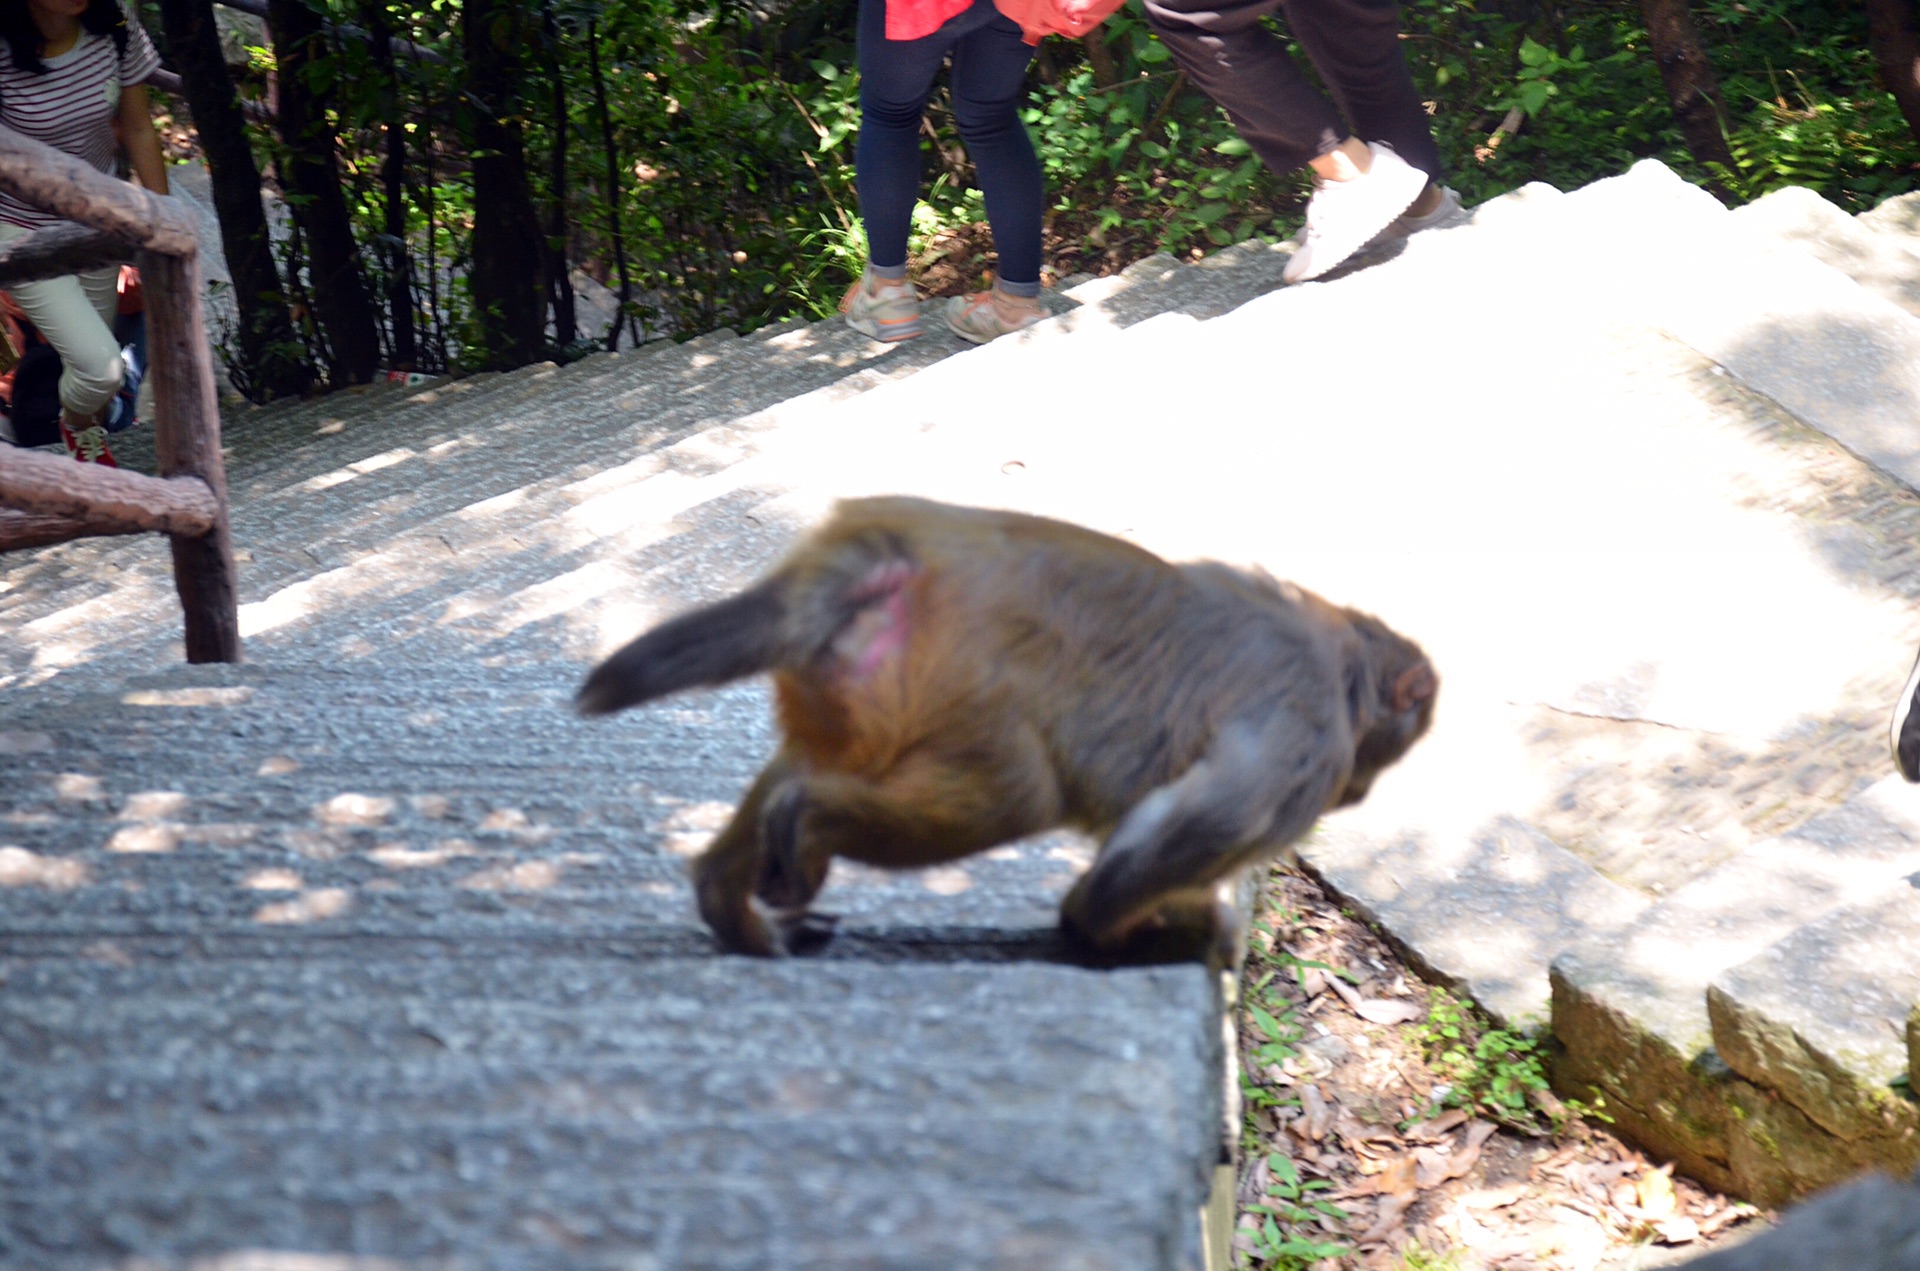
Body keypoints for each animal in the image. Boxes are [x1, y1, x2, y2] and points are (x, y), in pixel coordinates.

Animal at [576, 499, 1436, 967]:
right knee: (1018, 796)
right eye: (1380, 761)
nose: (1361, 794)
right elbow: (1206, 821)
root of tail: (898, 554)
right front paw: (1105, 924)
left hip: (850, 692)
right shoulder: (1308, 737)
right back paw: (803, 824)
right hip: (969, 688)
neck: (1339, 658)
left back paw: (729, 902)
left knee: (799, 765)